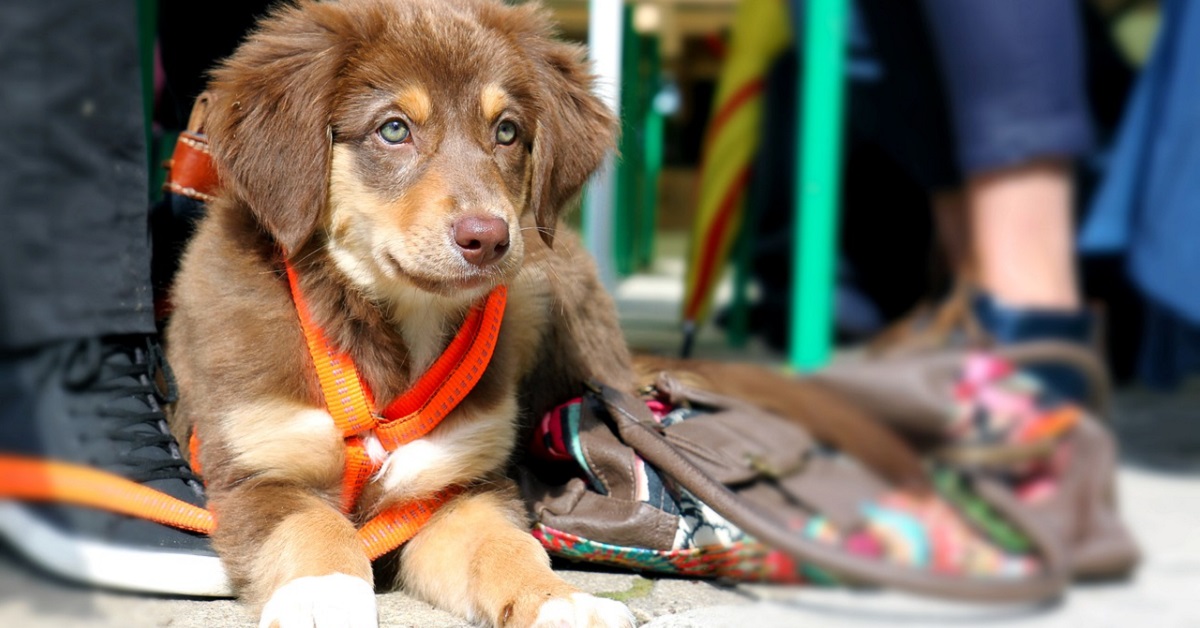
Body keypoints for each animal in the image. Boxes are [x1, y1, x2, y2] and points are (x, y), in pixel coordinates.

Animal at [168, 2, 638, 624]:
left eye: (507, 131)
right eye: (393, 129)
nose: (489, 239)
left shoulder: (456, 488)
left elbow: (507, 546)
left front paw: (560, 601)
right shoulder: (255, 470)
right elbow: (311, 524)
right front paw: (324, 593)